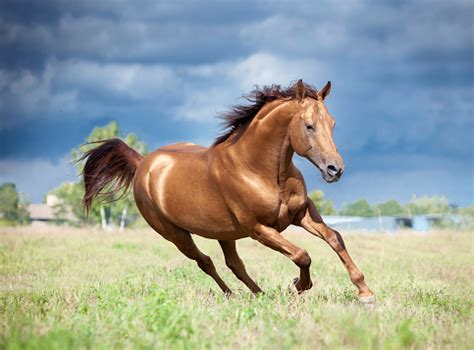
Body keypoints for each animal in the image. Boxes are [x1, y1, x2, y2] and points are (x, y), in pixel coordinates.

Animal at [82, 80, 378, 304]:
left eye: (333, 123)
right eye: (309, 125)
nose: (335, 170)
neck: (258, 169)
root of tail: (143, 162)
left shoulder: (301, 213)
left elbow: (335, 238)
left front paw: (364, 292)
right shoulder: (259, 229)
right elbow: (301, 255)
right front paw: (297, 285)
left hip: (224, 233)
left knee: (234, 264)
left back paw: (259, 295)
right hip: (175, 234)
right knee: (205, 262)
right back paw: (234, 295)